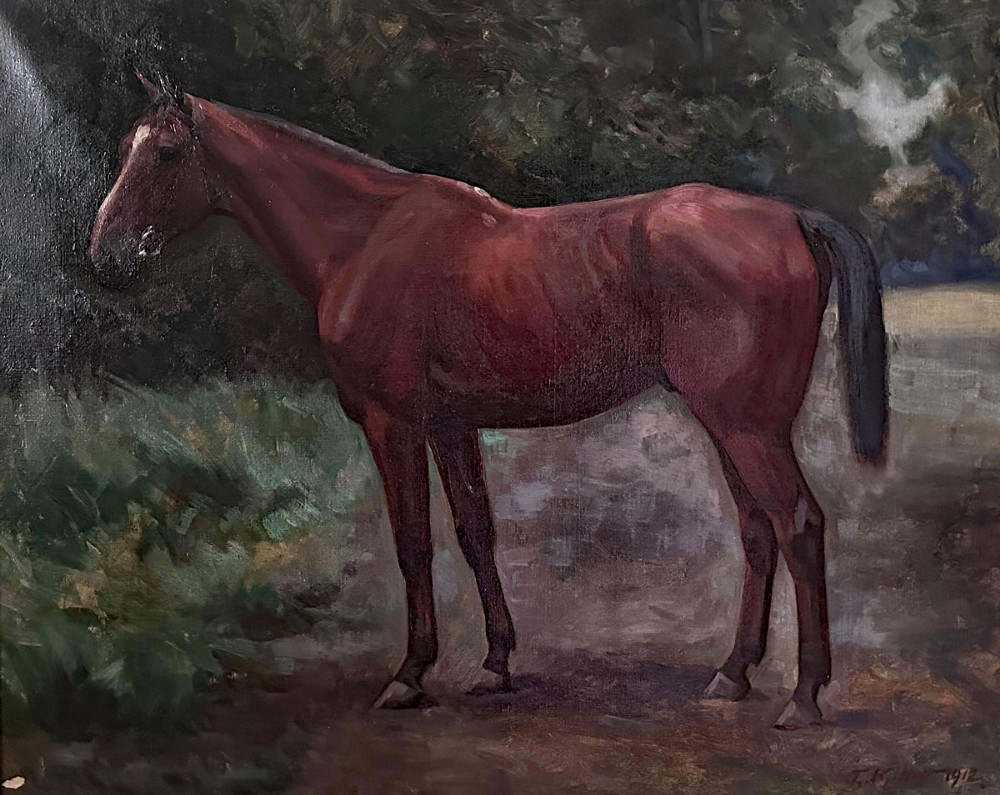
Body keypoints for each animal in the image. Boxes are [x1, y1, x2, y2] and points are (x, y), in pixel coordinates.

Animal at [88, 73, 888, 729]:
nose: (106, 257)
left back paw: (804, 696)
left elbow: (413, 542)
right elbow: (476, 532)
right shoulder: (451, 425)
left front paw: (410, 675)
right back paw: (732, 674)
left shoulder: (393, 425)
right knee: (758, 531)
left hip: (748, 426)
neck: (362, 237)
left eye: (165, 154)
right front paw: (496, 663)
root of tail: (791, 219)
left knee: (798, 524)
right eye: (126, 147)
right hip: (729, 425)